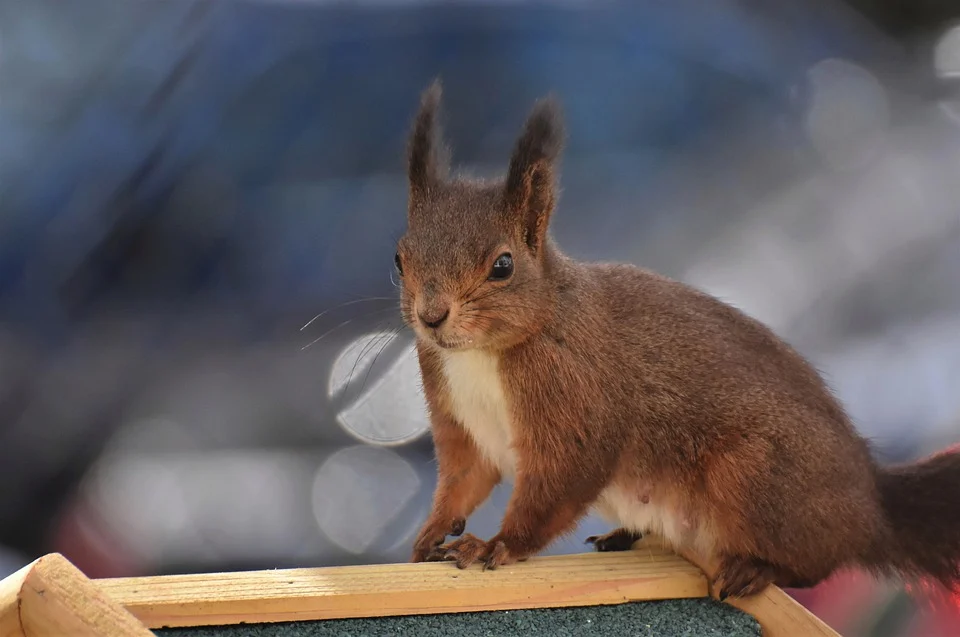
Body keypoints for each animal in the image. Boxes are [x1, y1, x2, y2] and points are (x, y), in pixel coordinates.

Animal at [392, 79, 960, 596]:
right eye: (399, 259)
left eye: (503, 265)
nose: (431, 316)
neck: (483, 353)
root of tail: (874, 504)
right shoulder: (460, 417)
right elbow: (464, 477)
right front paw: (429, 536)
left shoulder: (576, 397)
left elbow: (561, 480)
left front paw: (497, 546)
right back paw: (625, 536)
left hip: (756, 476)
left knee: (818, 563)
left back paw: (757, 570)